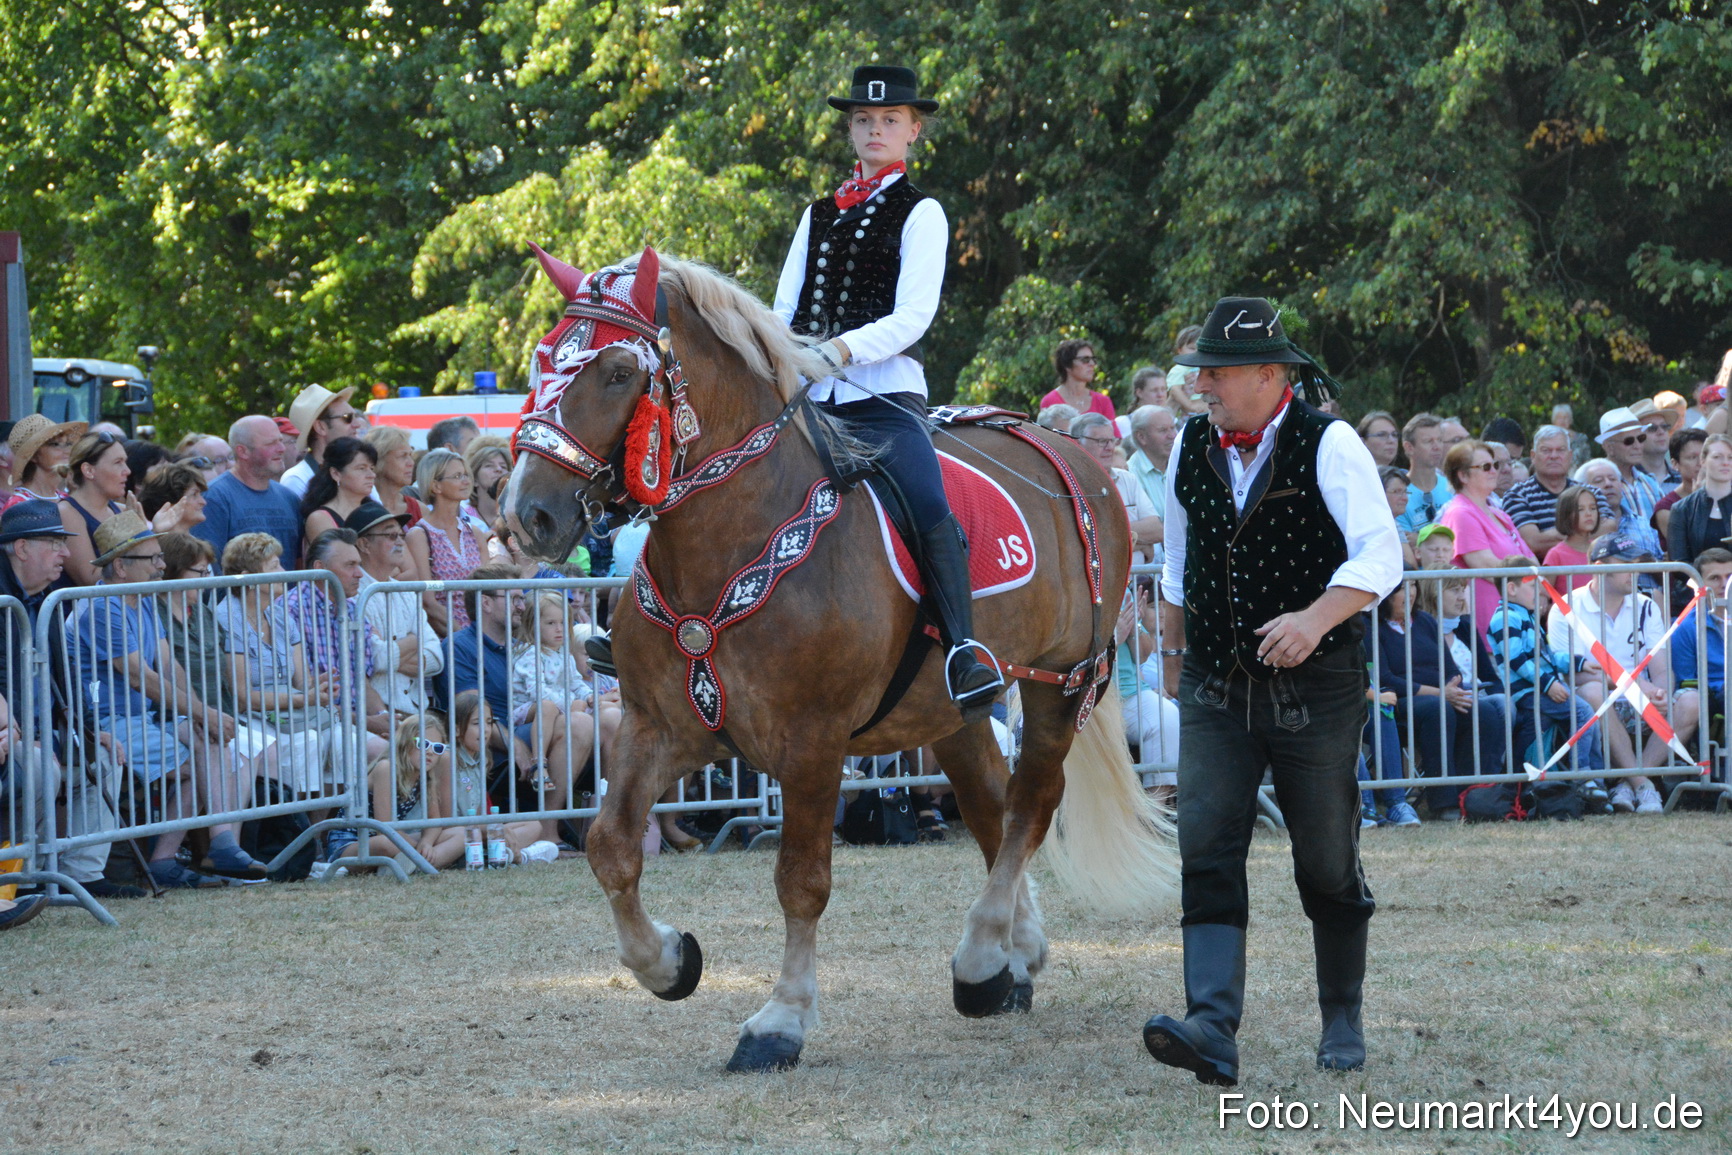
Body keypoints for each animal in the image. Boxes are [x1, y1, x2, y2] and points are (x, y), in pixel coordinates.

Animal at [505, 244, 1176, 1072]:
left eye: (618, 372)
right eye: (543, 360)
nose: (529, 514)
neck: (733, 534)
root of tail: (1072, 454)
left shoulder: (812, 743)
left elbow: (802, 879)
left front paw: (781, 1019)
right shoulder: (658, 726)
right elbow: (609, 846)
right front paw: (667, 961)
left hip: (1061, 686)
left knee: (1030, 802)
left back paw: (982, 954)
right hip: (951, 709)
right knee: (991, 805)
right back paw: (1011, 956)